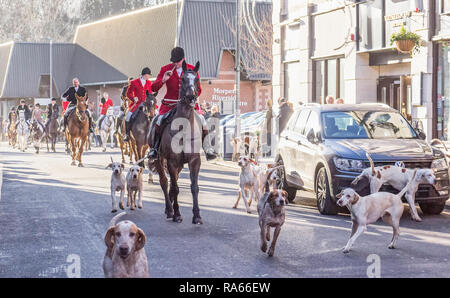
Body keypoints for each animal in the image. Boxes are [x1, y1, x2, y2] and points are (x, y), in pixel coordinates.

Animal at [149, 60, 203, 224]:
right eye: (183, 79)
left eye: (196, 79)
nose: (191, 96)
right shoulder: (171, 161)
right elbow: (174, 187)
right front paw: (177, 213)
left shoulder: (194, 161)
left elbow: (194, 187)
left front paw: (197, 215)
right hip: (159, 159)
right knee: (165, 182)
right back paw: (170, 209)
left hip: (179, 165)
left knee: (173, 182)